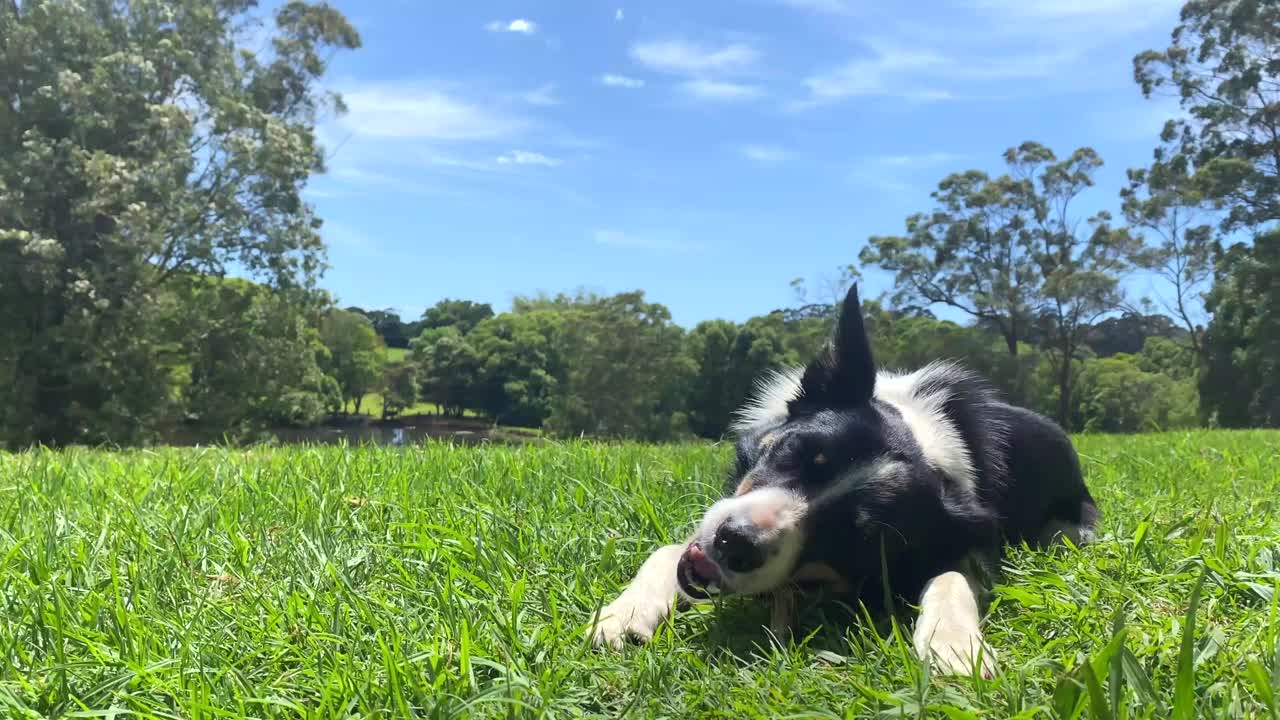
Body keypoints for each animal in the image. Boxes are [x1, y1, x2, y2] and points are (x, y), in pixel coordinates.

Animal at [588, 283, 1100, 676]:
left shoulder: (971, 541)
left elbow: (953, 572)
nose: (735, 544)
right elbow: (666, 548)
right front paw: (625, 613)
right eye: (797, 451)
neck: (922, 437)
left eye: (857, 537)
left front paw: (955, 645)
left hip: (1072, 529)